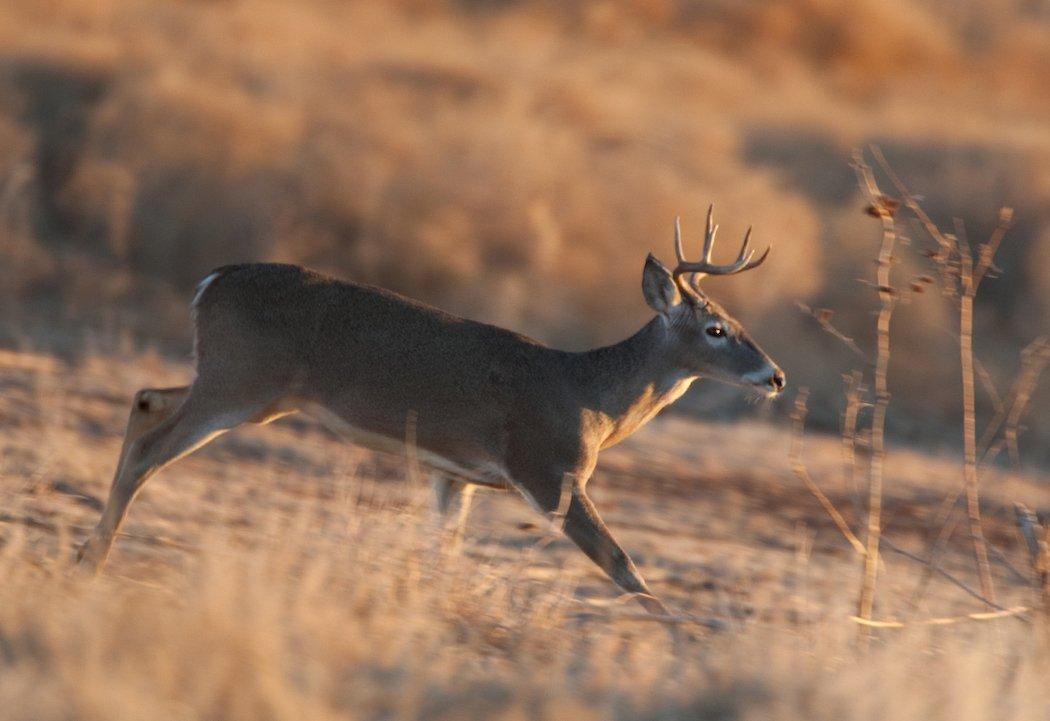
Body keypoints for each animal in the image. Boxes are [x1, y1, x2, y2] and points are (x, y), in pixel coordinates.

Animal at [76, 207, 781, 612]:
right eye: (716, 329)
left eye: (738, 322)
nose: (775, 377)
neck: (593, 397)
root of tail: (209, 282)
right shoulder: (548, 470)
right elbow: (623, 565)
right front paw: (682, 635)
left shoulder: (457, 474)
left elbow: (446, 546)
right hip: (240, 382)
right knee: (150, 448)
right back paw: (92, 563)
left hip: (246, 389)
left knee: (146, 398)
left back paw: (89, 551)